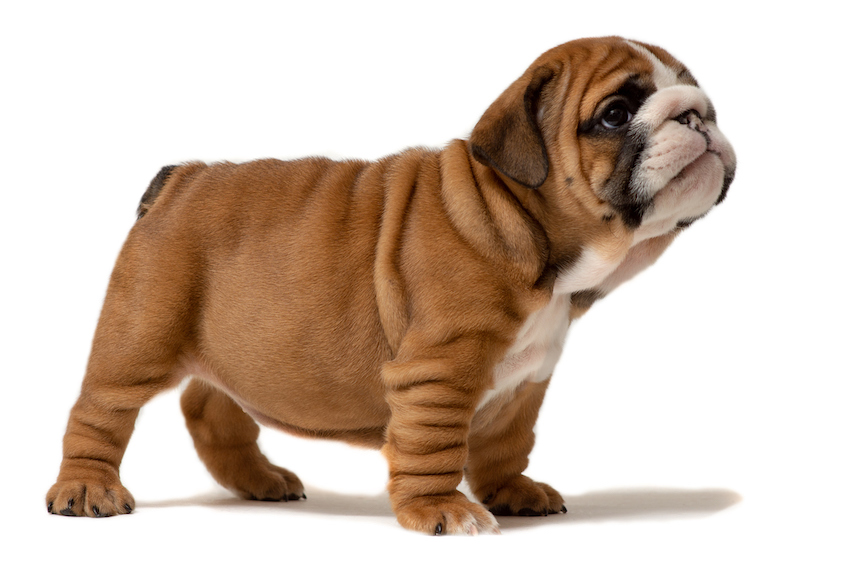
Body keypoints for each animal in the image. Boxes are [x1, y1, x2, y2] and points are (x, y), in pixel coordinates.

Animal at [48, 36, 736, 536]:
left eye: (703, 99)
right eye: (616, 114)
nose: (695, 112)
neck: (521, 225)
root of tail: (179, 178)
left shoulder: (527, 379)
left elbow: (506, 442)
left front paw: (512, 492)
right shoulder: (439, 372)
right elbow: (436, 447)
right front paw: (443, 510)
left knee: (210, 407)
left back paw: (258, 480)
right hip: (141, 334)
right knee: (100, 412)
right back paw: (87, 488)